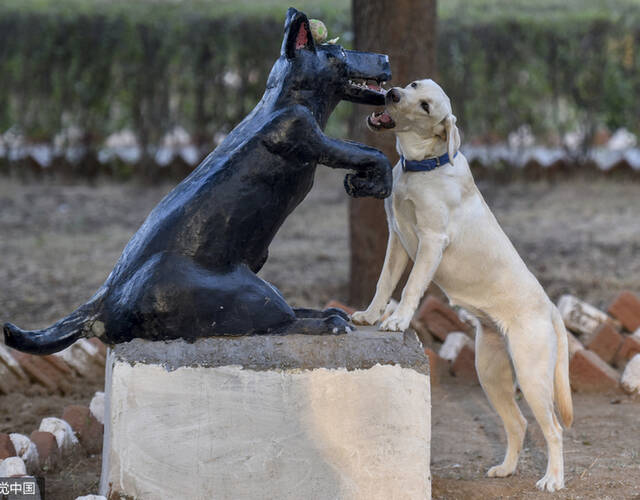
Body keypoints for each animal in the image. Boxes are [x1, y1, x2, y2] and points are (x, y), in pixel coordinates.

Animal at [352, 79, 572, 492]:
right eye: (413, 86)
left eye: (425, 106)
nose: (392, 94)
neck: (422, 166)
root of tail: (551, 307)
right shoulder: (397, 238)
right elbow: (383, 283)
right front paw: (371, 315)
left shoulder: (430, 242)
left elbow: (409, 289)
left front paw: (397, 320)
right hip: (490, 374)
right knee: (518, 424)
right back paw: (506, 469)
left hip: (532, 376)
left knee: (552, 428)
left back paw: (552, 479)